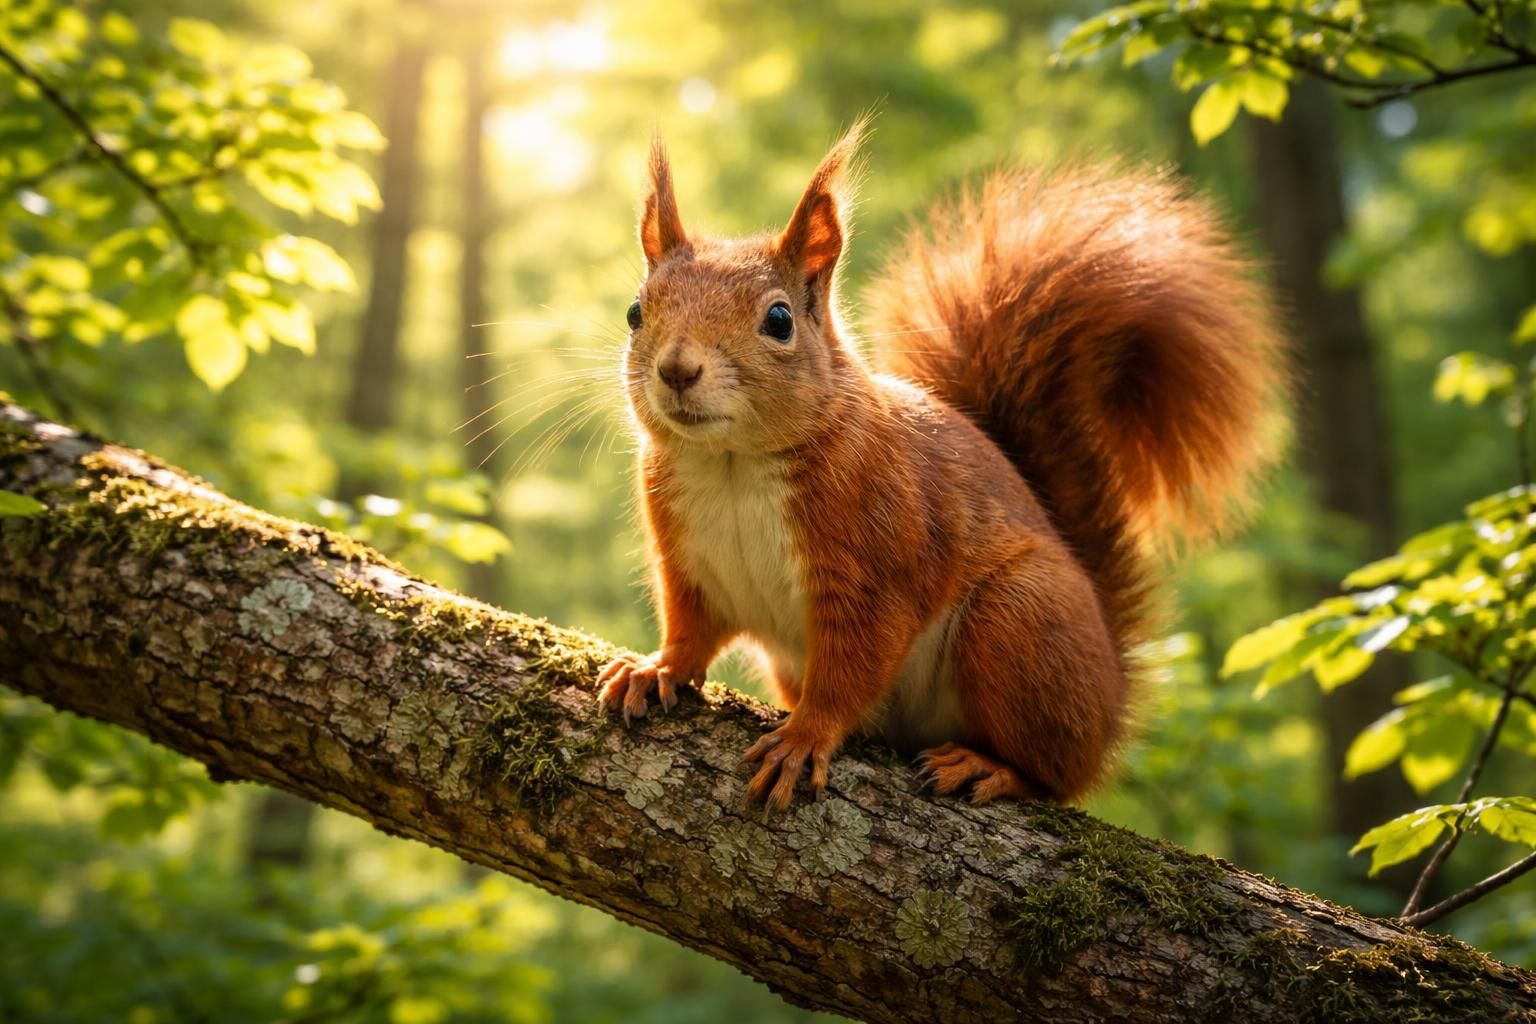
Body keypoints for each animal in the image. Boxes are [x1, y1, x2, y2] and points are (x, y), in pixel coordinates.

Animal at [597, 121, 1286, 811]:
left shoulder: (879, 559)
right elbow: (691, 628)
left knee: (1053, 774)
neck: (733, 465)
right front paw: (656, 668)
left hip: (1017, 621)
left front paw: (804, 736)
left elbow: (851, 668)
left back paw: (989, 767)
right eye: (635, 312)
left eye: (779, 320)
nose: (677, 369)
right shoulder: (687, 562)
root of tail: (1113, 698)